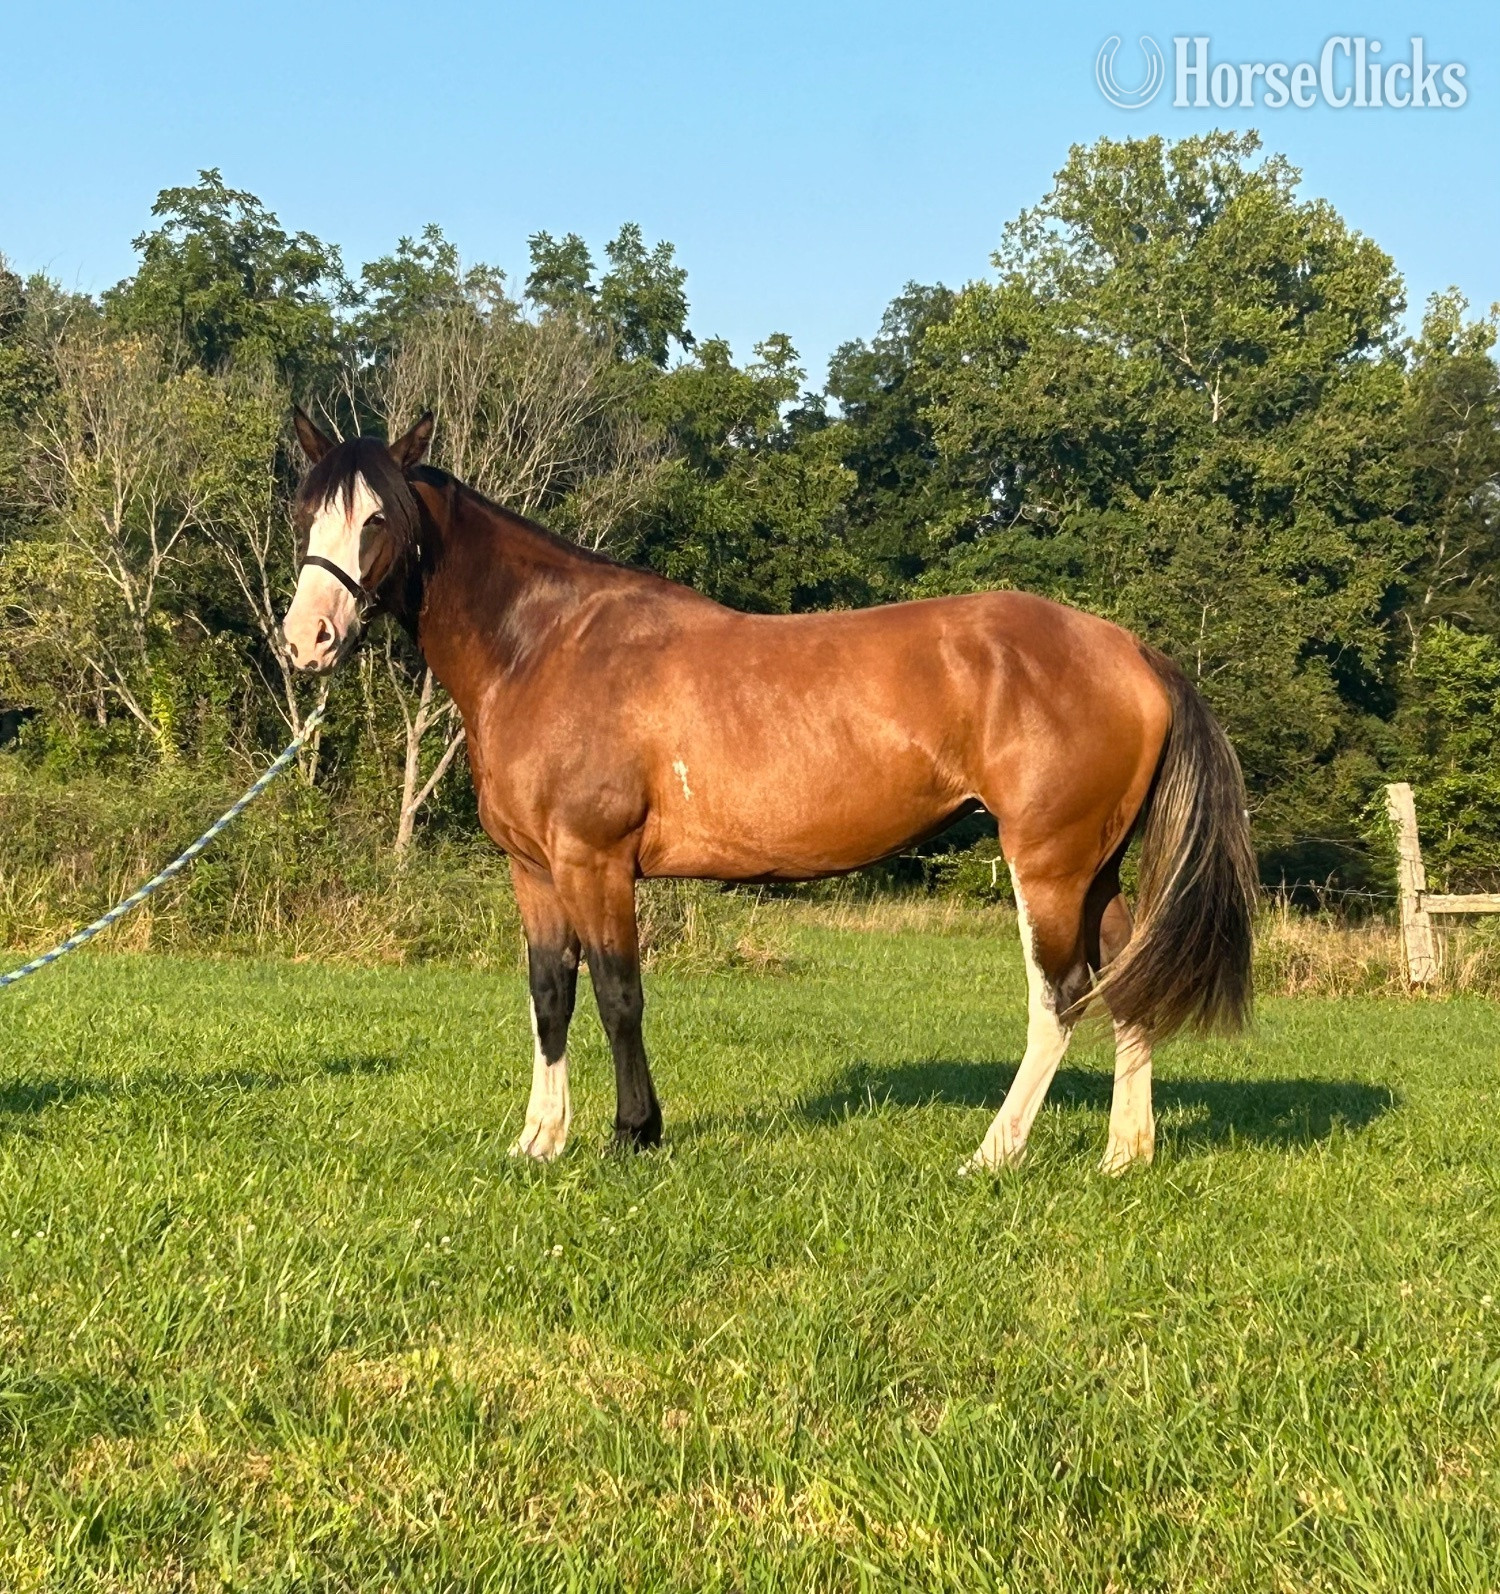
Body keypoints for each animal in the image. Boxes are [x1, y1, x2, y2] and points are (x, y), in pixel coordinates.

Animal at [281, 410, 1257, 1174]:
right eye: (305, 511)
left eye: (378, 515)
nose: (306, 641)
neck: (546, 645)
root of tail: (1131, 651)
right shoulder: (534, 870)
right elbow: (550, 997)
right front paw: (540, 1140)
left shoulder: (596, 863)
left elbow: (619, 997)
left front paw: (634, 1134)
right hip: (1094, 870)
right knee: (1129, 983)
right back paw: (1124, 1155)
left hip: (1047, 866)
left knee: (1059, 1000)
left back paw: (993, 1151)